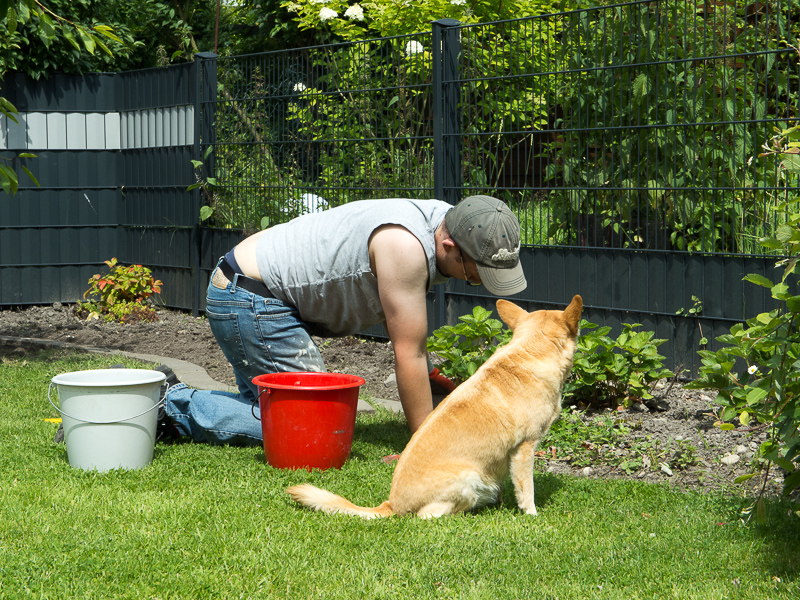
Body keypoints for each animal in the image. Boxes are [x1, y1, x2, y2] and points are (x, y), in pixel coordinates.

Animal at [288, 296, 580, 516]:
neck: (531, 349)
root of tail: (391, 505)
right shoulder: (525, 448)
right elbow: (526, 490)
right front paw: (531, 515)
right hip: (468, 478)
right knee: (430, 515)